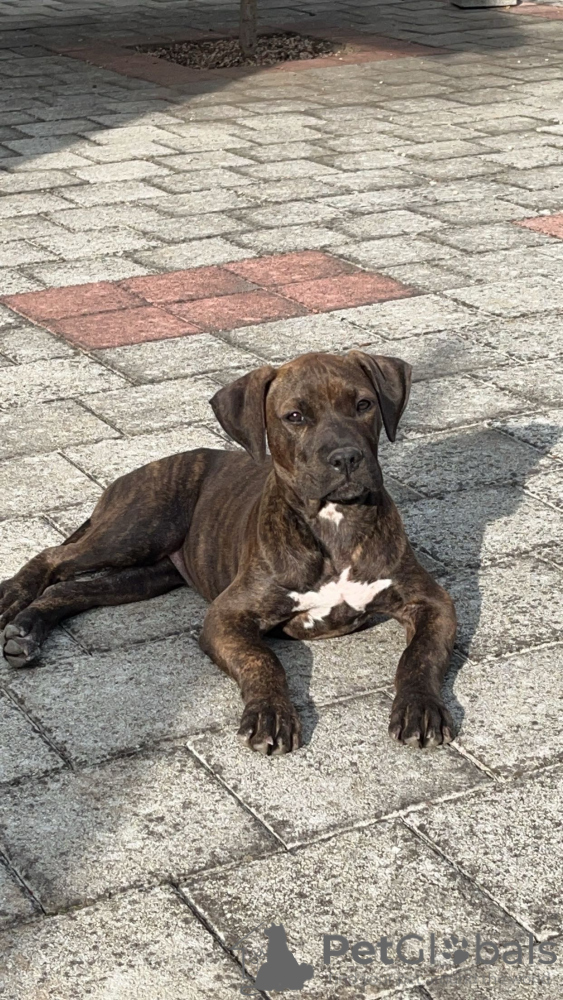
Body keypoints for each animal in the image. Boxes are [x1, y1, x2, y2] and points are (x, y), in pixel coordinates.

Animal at [0, 351, 456, 754]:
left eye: (363, 405)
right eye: (295, 417)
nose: (346, 457)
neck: (334, 524)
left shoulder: (431, 601)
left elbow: (419, 655)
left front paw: (420, 707)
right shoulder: (227, 615)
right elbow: (262, 660)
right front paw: (271, 713)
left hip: (146, 574)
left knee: (73, 590)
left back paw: (26, 632)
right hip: (137, 530)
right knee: (53, 558)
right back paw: (13, 600)